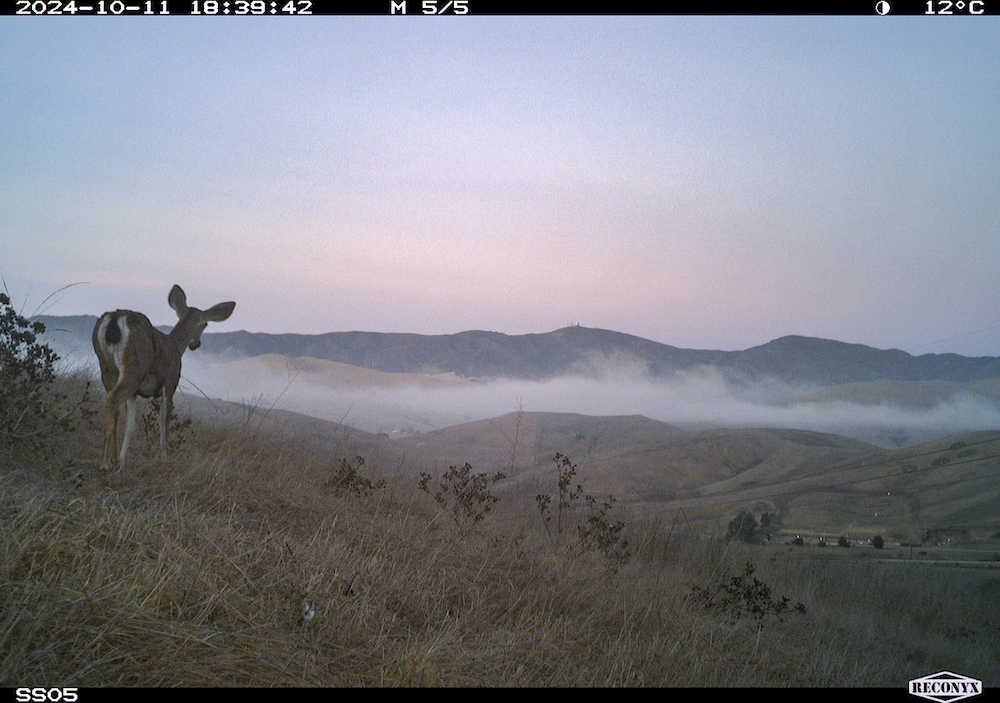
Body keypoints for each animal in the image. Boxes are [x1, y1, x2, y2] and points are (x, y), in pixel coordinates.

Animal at [92, 284, 236, 468]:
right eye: (205, 324)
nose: (196, 344)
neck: (176, 347)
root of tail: (114, 320)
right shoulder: (170, 382)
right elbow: (163, 422)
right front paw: (164, 456)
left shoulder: (135, 393)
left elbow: (131, 424)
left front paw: (121, 459)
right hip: (134, 368)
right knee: (112, 398)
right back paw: (104, 463)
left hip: (107, 368)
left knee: (113, 404)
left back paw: (111, 458)